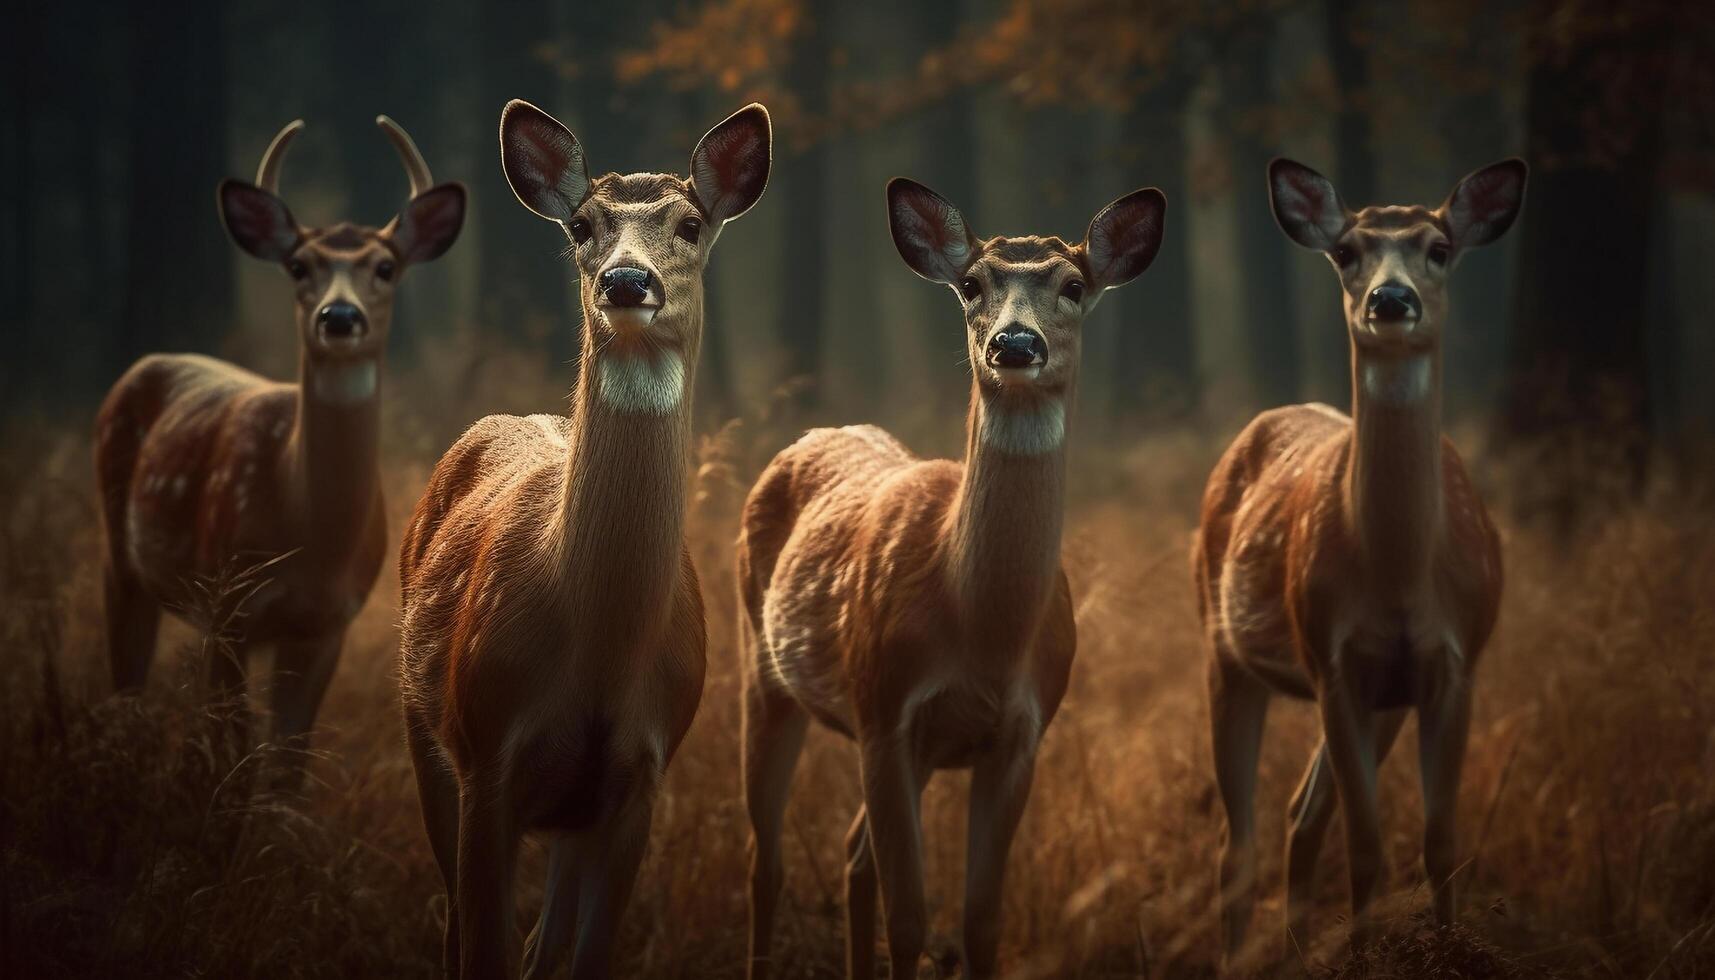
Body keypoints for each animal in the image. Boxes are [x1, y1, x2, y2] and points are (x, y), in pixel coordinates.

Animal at [97, 116, 466, 751]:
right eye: (299, 266)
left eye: (385, 267)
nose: (339, 316)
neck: (307, 533)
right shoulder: (227, 607)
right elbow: (232, 749)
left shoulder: (328, 623)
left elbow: (287, 757)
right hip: (121, 560)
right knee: (125, 686)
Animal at [394, 101, 771, 980]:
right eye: (580, 225)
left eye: (690, 223)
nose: (627, 280)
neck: (599, 650)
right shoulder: (484, 756)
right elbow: (481, 949)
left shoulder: (639, 777)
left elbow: (584, 952)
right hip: (424, 732)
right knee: (456, 927)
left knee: (546, 943)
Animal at [737, 180, 1166, 974]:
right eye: (971, 284)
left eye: (1074, 285)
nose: (1015, 343)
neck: (982, 630)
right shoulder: (883, 711)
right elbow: (910, 916)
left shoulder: (1020, 734)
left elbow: (979, 920)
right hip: (763, 670)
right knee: (767, 862)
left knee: (851, 856)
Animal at [1193, 157, 1529, 967]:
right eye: (1346, 251)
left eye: (1439, 247)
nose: (1391, 299)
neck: (1400, 576)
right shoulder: (1332, 659)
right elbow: (1368, 846)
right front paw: (1364, 956)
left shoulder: (1453, 662)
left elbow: (1439, 844)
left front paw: (1442, 949)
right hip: (1222, 650)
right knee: (1236, 842)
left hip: (1380, 699)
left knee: (1298, 814)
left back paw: (1289, 953)